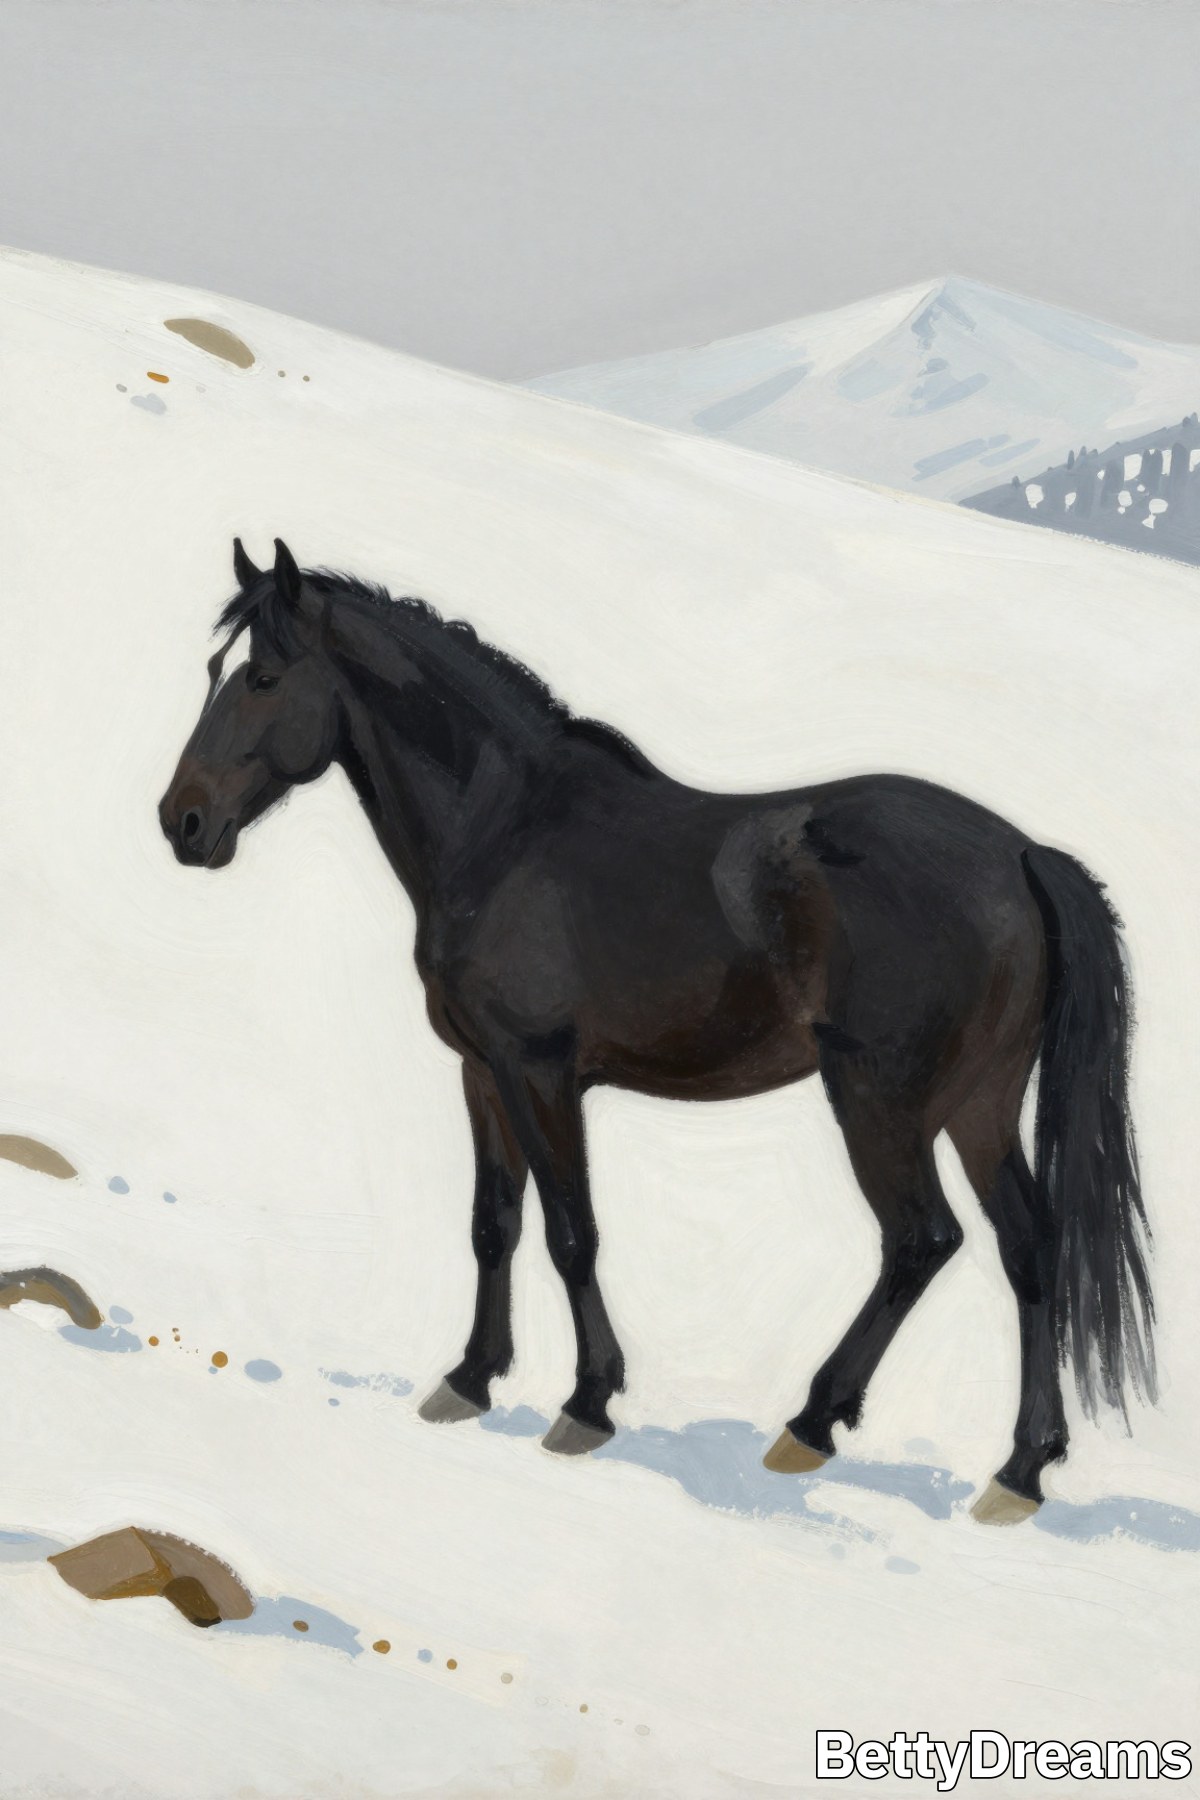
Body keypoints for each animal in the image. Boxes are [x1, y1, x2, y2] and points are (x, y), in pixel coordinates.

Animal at [159, 538, 1156, 1522]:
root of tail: (1022, 855)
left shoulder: (541, 1072)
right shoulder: (482, 1071)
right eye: (212, 670)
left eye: (262, 677)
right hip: (977, 1102)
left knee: (923, 1239)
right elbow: (493, 1222)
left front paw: (587, 1402)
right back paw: (1020, 1469)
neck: (505, 833)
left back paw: (812, 1424)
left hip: (880, 1097)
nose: (182, 822)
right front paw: (470, 1379)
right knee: (1029, 1247)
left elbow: (572, 1232)